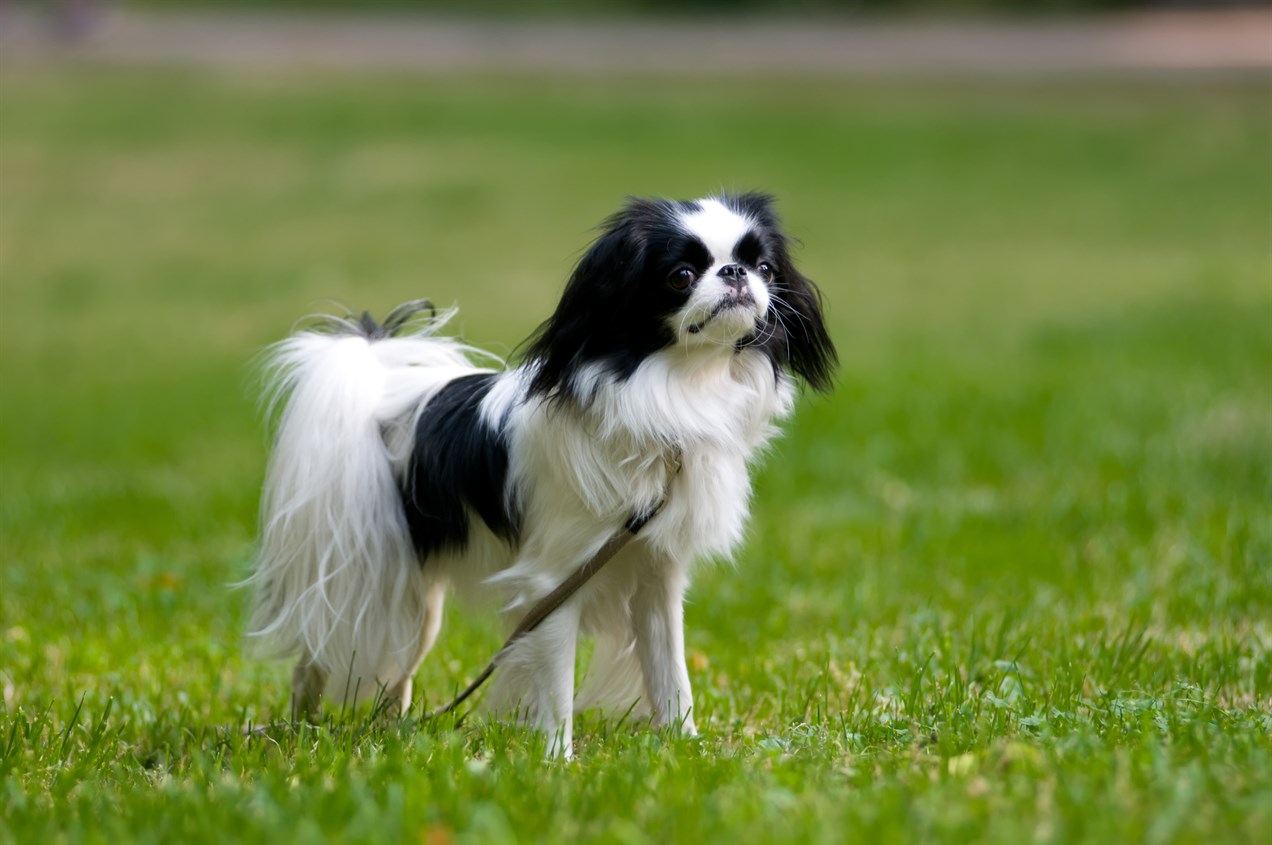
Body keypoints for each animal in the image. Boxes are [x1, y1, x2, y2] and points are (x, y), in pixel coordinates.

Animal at [246, 193, 834, 758]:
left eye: (763, 266)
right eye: (681, 276)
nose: (736, 273)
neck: (679, 389)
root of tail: (381, 391)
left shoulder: (655, 578)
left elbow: (671, 675)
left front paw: (686, 749)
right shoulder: (555, 582)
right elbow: (557, 690)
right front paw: (557, 762)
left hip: (417, 608)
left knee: (396, 674)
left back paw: (391, 731)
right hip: (372, 585)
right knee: (316, 661)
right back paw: (298, 730)